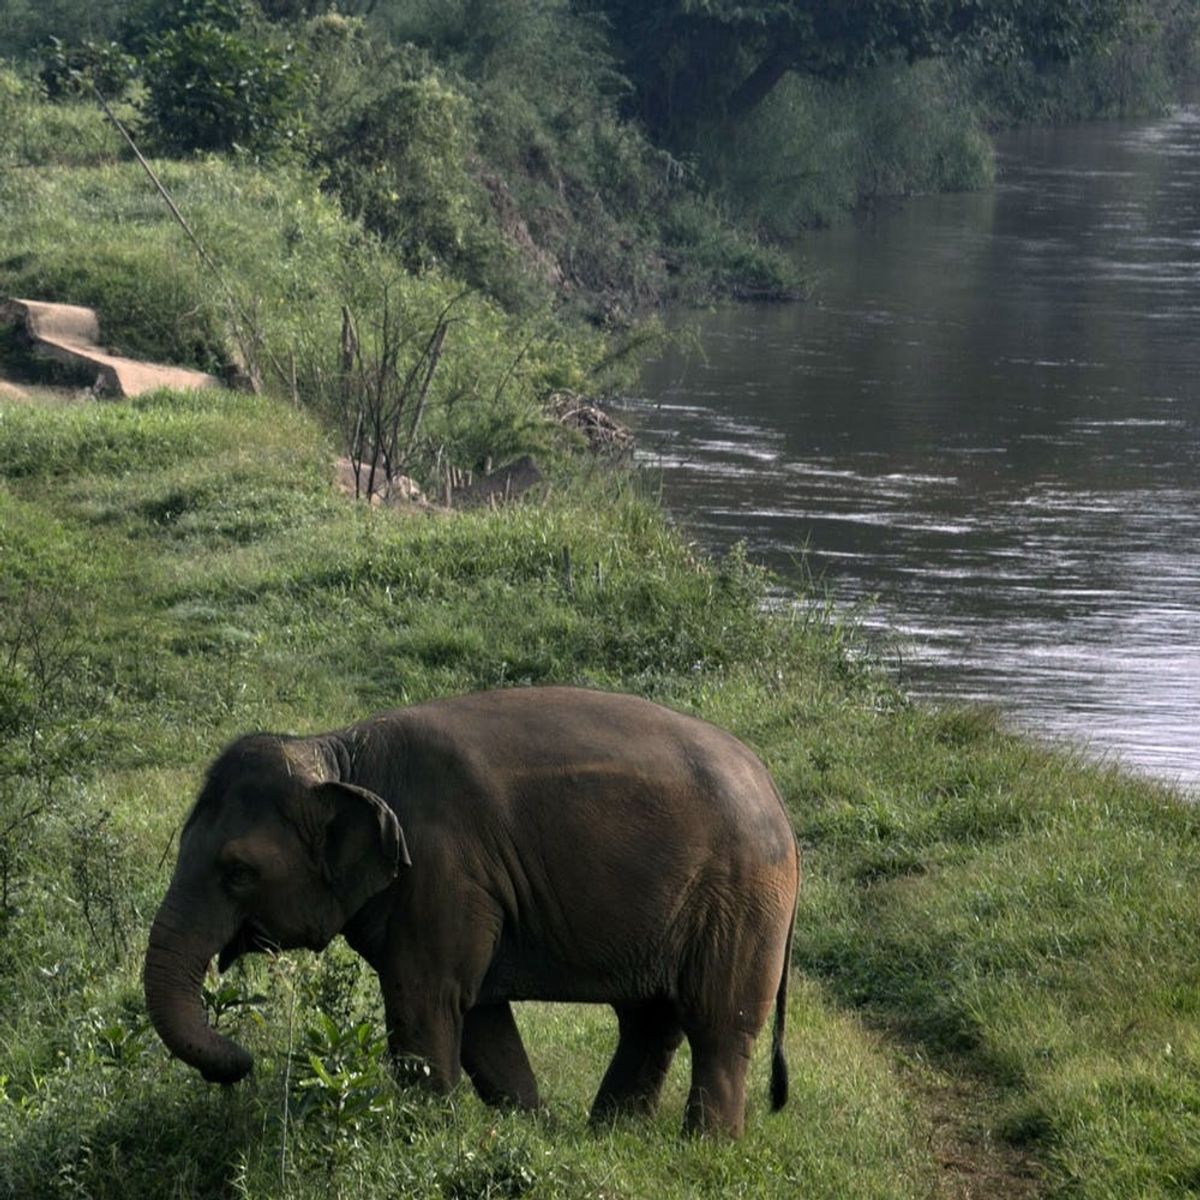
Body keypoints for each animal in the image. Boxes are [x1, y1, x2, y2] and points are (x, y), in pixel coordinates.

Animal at [144, 686, 800, 1136]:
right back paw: (610, 1135)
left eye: (238, 872)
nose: (240, 1062)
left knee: (718, 1024)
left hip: (741, 901)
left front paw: (421, 1131)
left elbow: (425, 1001)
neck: (336, 751)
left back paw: (704, 1147)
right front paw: (531, 1129)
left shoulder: (444, 871)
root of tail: (778, 799)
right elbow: (480, 1017)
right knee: (649, 1019)